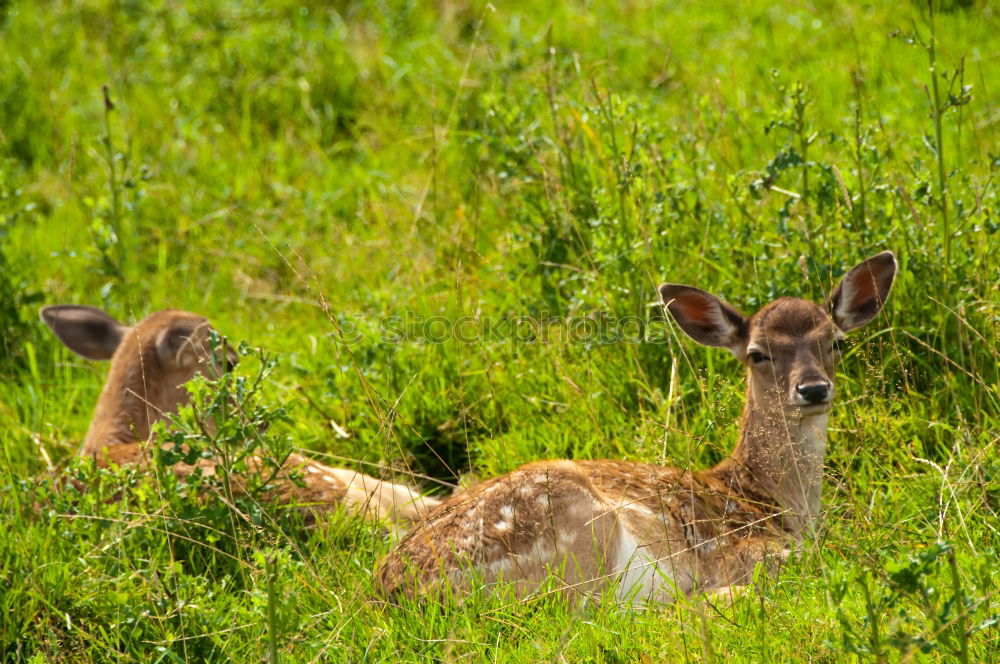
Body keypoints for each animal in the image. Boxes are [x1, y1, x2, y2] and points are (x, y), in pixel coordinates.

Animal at [376, 250, 900, 600]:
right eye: (757, 353)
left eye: (836, 342)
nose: (812, 389)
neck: (771, 500)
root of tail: (395, 597)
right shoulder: (737, 550)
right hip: (577, 530)